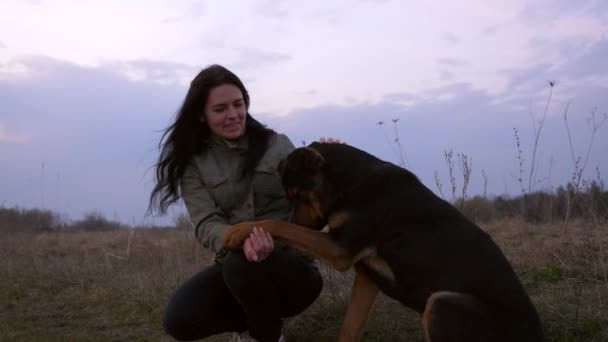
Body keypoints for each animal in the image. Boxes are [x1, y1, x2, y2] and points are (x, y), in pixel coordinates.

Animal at [224, 142, 548, 342]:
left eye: (297, 195)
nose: (300, 221)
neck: (349, 182)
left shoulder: (341, 248)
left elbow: (278, 225)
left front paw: (238, 231)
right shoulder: (367, 276)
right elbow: (349, 328)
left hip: (442, 303)